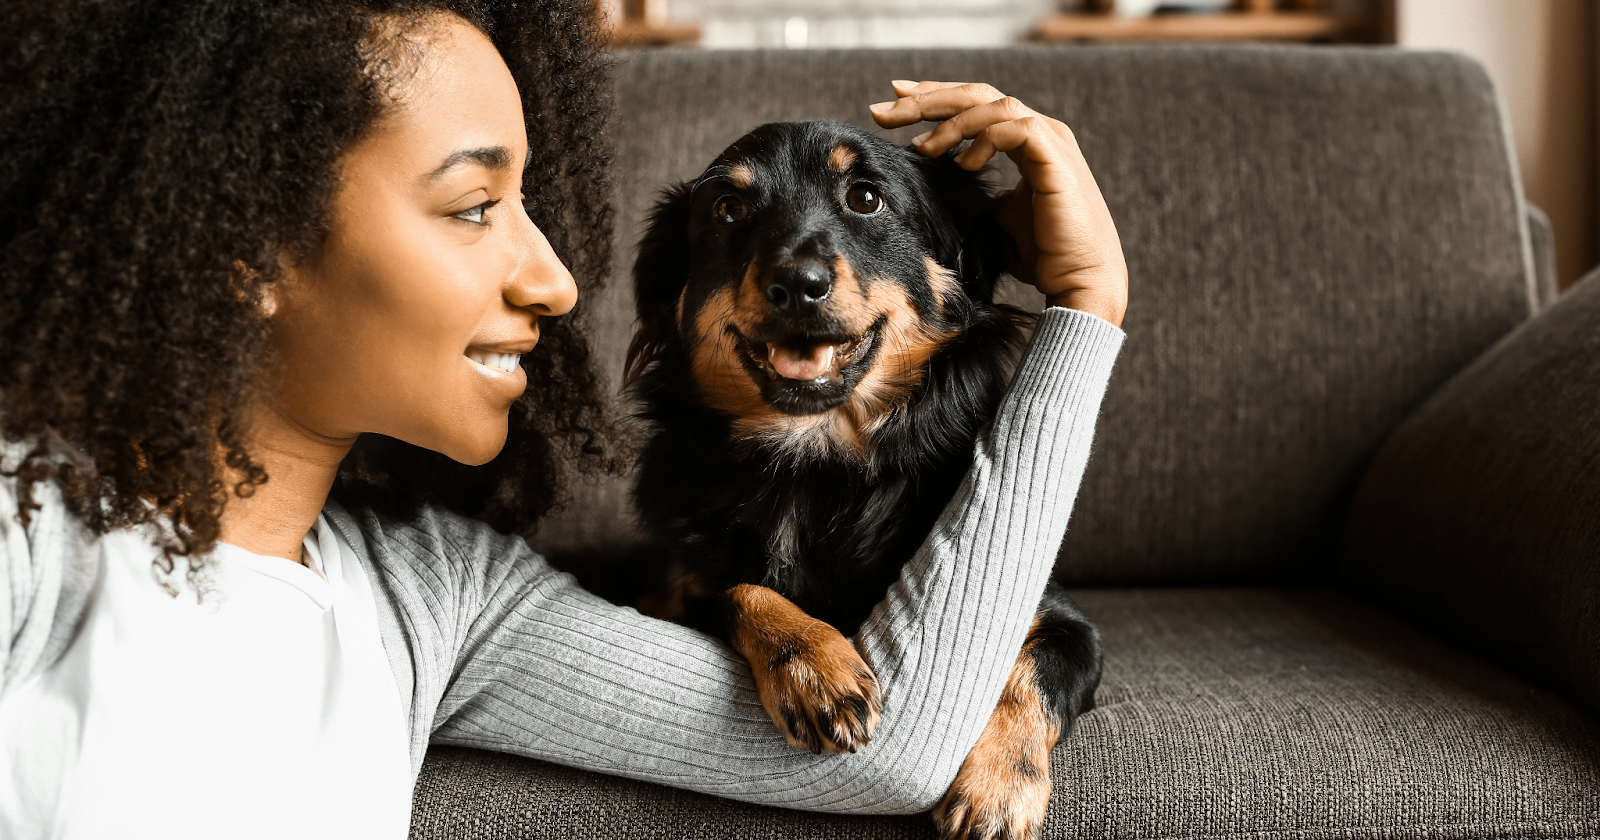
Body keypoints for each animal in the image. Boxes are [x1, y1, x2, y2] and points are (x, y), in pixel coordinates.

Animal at [595, 119, 1107, 838]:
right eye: (727, 210)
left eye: (866, 198)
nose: (795, 283)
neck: (815, 464)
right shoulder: (676, 589)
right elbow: (740, 589)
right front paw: (815, 666)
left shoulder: (1062, 619)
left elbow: (1032, 675)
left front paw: (1000, 786)